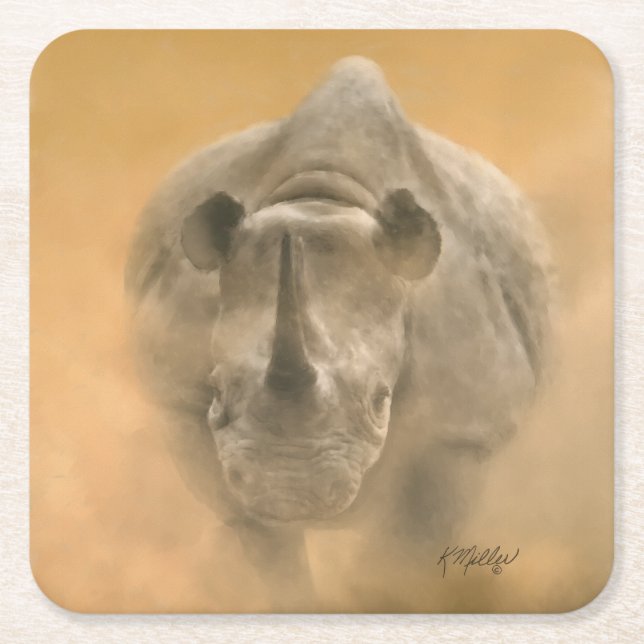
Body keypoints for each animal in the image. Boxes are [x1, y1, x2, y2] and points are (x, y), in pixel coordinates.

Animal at [125, 57, 552, 606]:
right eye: (217, 390)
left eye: (380, 399)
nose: (287, 489)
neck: (325, 198)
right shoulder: (180, 398)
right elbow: (263, 543)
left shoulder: (465, 426)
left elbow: (409, 544)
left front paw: (382, 594)